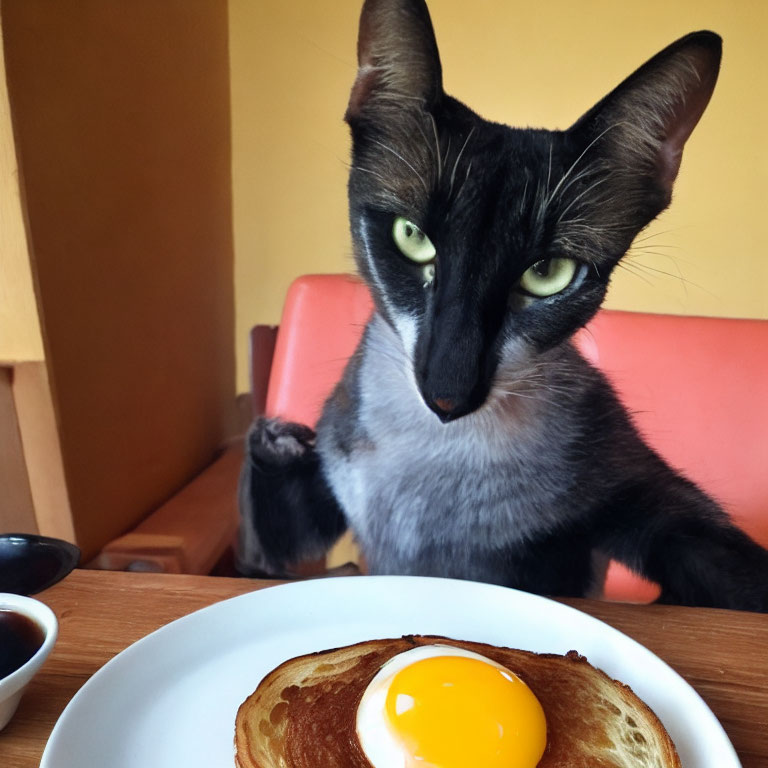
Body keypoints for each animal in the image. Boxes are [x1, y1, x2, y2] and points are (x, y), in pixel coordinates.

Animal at [238, 0, 768, 612]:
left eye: (548, 273)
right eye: (411, 237)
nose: (448, 394)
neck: (436, 462)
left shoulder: (633, 492)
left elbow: (720, 569)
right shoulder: (310, 507)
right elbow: (263, 554)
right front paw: (279, 438)